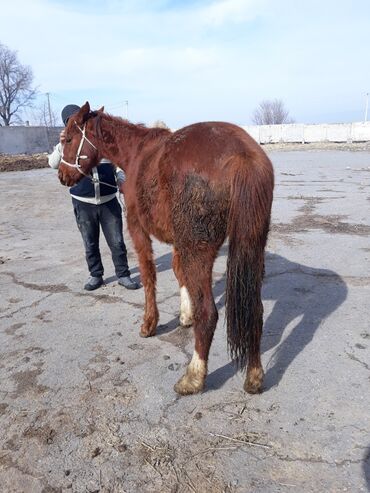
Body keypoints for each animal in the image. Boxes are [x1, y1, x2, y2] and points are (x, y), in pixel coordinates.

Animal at [58, 102, 274, 394]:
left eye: (68, 139)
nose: (62, 175)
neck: (136, 153)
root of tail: (242, 156)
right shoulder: (177, 241)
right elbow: (178, 271)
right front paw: (185, 314)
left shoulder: (138, 229)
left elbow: (149, 275)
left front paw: (149, 323)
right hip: (252, 246)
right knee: (255, 311)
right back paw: (254, 374)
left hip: (199, 250)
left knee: (210, 315)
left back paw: (193, 376)